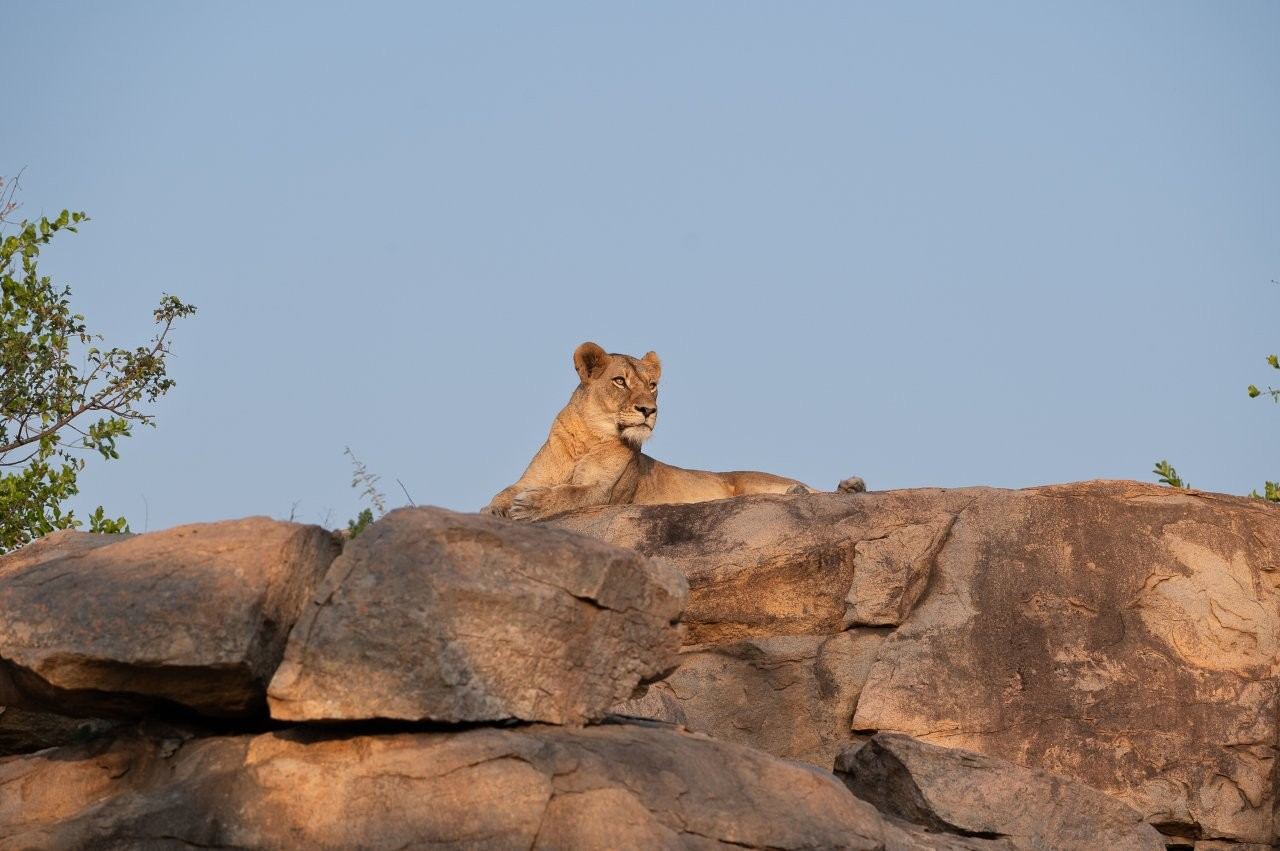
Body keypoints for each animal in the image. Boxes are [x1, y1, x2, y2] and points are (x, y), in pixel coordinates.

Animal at [484, 342, 865, 521]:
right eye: (620, 381)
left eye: (652, 386)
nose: (648, 410)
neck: (587, 438)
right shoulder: (528, 477)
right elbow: (500, 494)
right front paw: (493, 511)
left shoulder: (608, 492)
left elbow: (571, 494)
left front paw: (528, 506)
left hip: (752, 482)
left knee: (816, 492)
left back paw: (843, 488)